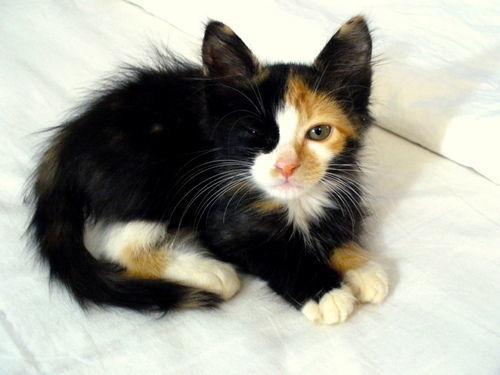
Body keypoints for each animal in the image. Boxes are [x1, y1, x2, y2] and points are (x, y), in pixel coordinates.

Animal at [30, 16, 390, 324]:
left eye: (319, 132)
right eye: (255, 133)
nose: (286, 166)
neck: (292, 201)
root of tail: (71, 136)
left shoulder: (341, 187)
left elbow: (333, 226)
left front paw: (360, 266)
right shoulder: (221, 216)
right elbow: (272, 251)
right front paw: (325, 292)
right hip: (153, 170)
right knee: (120, 246)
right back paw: (212, 274)